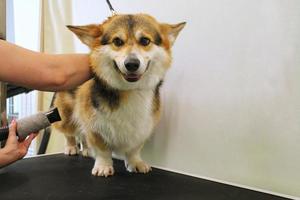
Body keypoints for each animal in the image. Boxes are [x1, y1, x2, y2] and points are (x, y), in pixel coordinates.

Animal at [53, 14, 185, 177]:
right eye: (117, 41)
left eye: (145, 41)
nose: (132, 64)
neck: (130, 90)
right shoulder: (94, 126)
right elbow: (102, 150)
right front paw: (103, 166)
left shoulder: (142, 127)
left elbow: (135, 149)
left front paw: (135, 163)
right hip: (66, 115)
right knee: (69, 133)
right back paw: (71, 147)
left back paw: (87, 150)